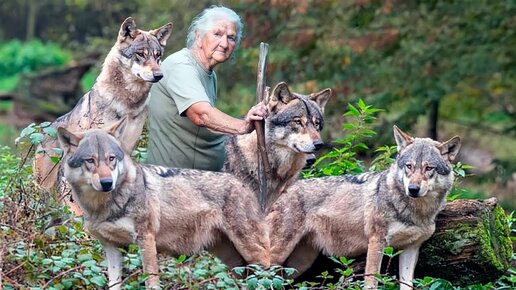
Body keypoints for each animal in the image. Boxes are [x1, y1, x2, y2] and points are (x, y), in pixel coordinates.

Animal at [33, 17, 173, 195]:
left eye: (157, 56)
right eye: (141, 54)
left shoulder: (125, 149)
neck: (127, 105)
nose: (159, 75)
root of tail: (44, 131)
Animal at [57, 118, 270, 290]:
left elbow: (151, 282)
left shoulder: (146, 240)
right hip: (233, 261)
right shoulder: (111, 247)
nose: (107, 183)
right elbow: (113, 284)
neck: (102, 207)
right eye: (90, 160)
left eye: (111, 159)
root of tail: (243, 184)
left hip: (253, 254)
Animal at [266, 125, 460, 288]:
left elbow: (407, 285)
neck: (416, 211)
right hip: (279, 254)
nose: (412, 189)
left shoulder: (411, 248)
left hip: (299, 264)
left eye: (429, 168)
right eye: (409, 166)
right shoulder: (376, 241)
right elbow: (371, 282)